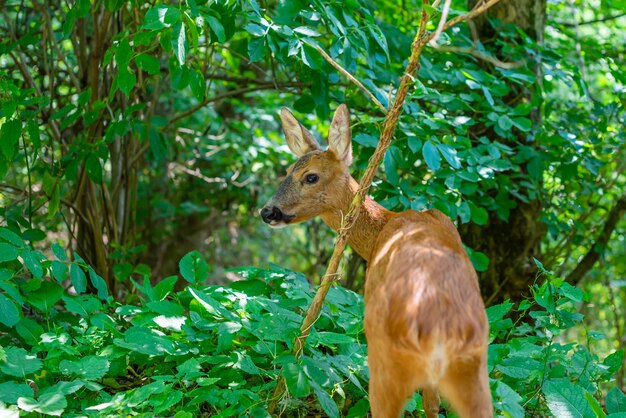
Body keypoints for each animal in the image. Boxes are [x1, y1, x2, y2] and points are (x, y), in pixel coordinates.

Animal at [260, 104, 492, 418]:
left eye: (310, 177)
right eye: (287, 171)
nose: (267, 212)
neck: (382, 228)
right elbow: (432, 406)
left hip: (387, 354)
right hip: (473, 362)